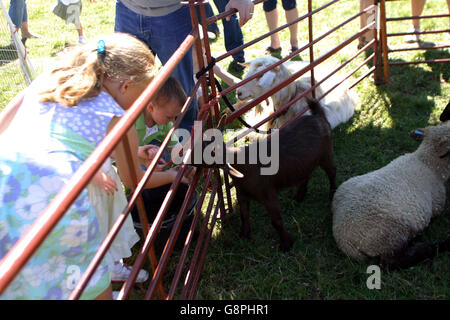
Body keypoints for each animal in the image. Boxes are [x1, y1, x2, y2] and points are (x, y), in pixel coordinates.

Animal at [192, 99, 336, 251]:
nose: (187, 157)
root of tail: (318, 116)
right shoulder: (242, 193)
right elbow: (244, 215)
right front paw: (244, 234)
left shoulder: (267, 194)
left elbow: (276, 220)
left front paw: (286, 243)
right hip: (307, 161)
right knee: (306, 174)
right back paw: (300, 195)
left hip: (326, 154)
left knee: (332, 172)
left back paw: (331, 194)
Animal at [330, 121, 450, 268]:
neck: (428, 163)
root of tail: (343, 238)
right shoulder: (438, 203)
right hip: (392, 234)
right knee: (391, 262)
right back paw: (434, 247)